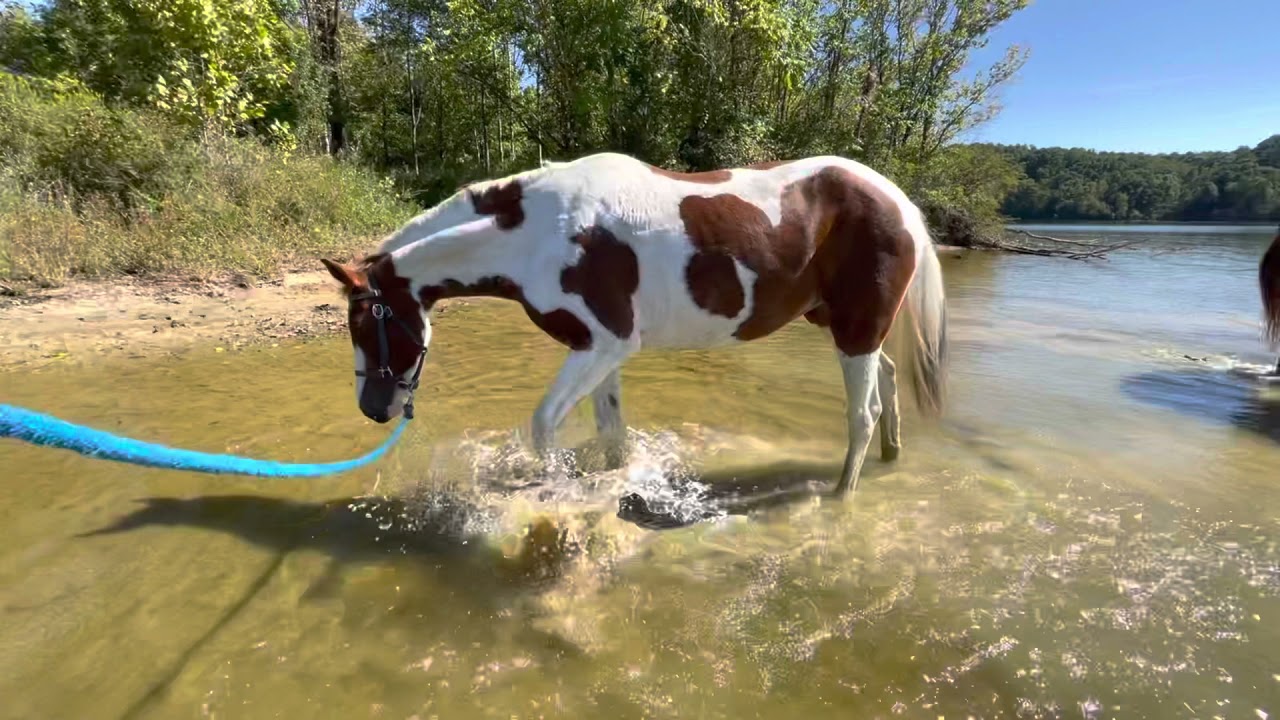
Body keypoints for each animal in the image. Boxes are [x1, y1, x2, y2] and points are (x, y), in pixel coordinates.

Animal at [319, 152, 948, 497]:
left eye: (364, 325)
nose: (373, 410)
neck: (540, 233)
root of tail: (896, 198)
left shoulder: (604, 346)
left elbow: (544, 426)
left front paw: (555, 496)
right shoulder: (603, 351)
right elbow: (611, 432)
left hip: (855, 330)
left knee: (863, 414)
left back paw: (839, 496)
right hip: (848, 326)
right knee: (889, 382)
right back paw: (890, 462)